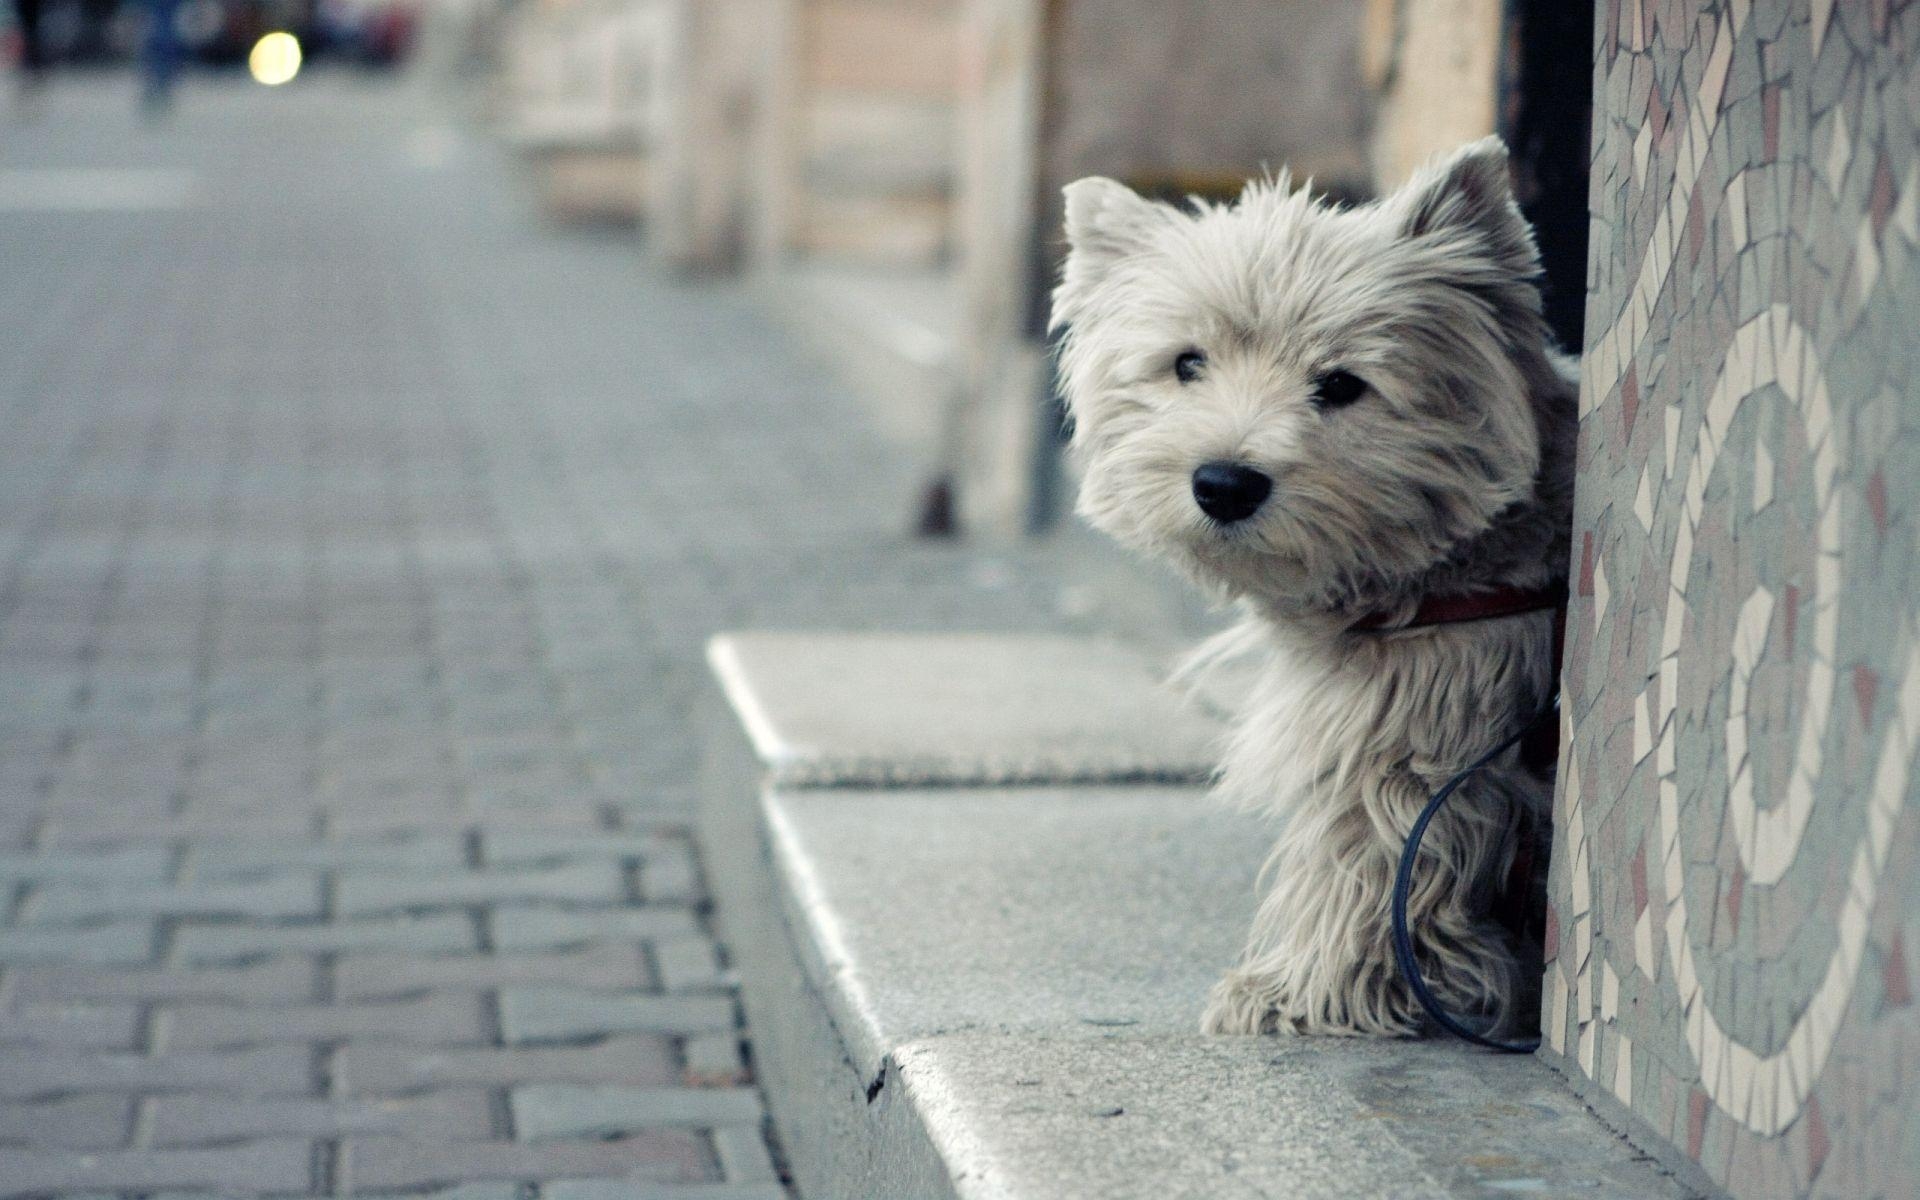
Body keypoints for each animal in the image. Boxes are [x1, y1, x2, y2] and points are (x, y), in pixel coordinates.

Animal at [1052, 138, 1574, 1036]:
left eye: (1341, 384)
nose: (1224, 482)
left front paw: (1299, 994)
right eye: (1186, 364)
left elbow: (1368, 862)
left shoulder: (1408, 735)